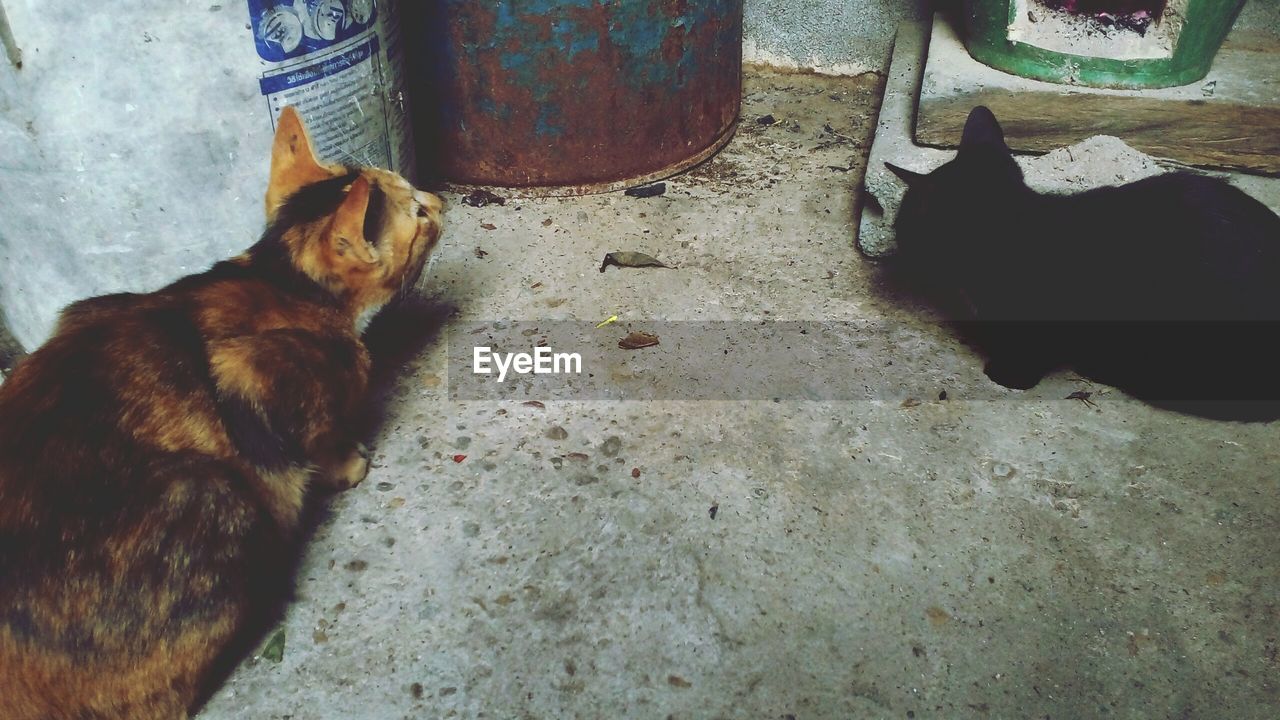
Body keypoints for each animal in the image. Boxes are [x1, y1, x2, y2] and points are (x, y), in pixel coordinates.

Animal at [0, 107, 448, 717]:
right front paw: (346, 462)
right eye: (417, 212)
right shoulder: (249, 373)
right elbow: (311, 433)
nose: (442, 201)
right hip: (215, 492)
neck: (281, 278)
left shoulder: (85, 310)